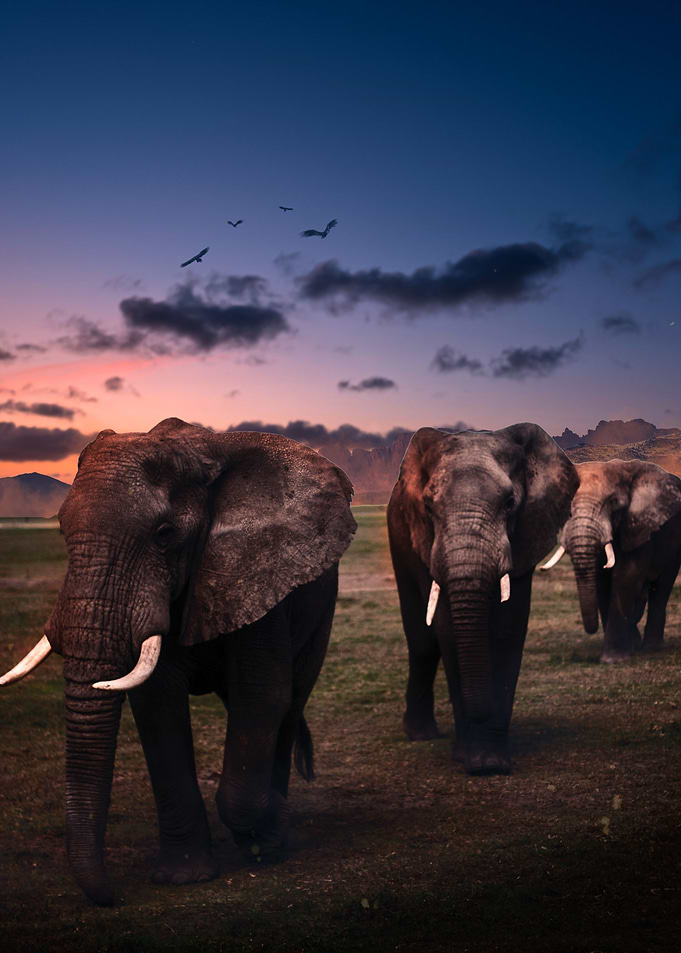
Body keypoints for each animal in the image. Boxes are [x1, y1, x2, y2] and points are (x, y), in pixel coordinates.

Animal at [0, 417, 356, 906]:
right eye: (60, 529)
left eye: (164, 534)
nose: (113, 896)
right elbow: (157, 705)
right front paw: (182, 877)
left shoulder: (256, 569)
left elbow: (262, 695)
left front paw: (273, 833)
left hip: (321, 608)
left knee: (290, 703)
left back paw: (274, 832)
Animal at [387, 423, 578, 776]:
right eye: (429, 507)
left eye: (510, 502)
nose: (482, 709)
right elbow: (448, 633)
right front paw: (470, 760)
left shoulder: (526, 532)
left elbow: (507, 630)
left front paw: (490, 763)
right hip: (399, 536)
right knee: (422, 641)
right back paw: (420, 735)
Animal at [540, 459, 681, 662]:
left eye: (614, 503)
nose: (591, 630)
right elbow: (601, 581)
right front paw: (627, 648)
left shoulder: (639, 524)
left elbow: (627, 575)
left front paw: (612, 659)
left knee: (662, 587)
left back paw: (651, 647)